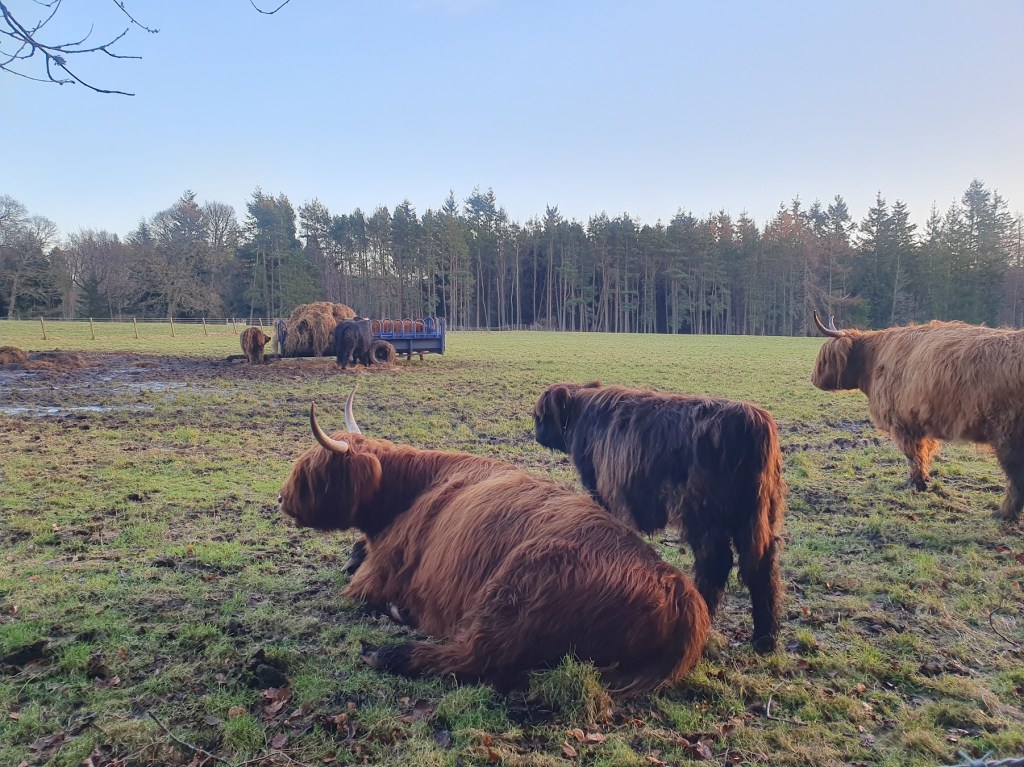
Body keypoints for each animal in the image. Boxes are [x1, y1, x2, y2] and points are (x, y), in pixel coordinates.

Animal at [278, 389, 710, 694]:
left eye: (312, 469)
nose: (281, 498)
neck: (409, 490)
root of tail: (679, 589)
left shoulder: (378, 574)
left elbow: (355, 586)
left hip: (515, 592)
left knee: (474, 657)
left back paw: (387, 652)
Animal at [533, 382, 786, 652]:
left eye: (539, 416)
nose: (536, 433)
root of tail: (754, 422)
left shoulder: (600, 488)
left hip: (704, 517)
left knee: (716, 563)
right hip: (758, 518)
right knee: (762, 568)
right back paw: (764, 638)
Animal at [811, 311, 1024, 521]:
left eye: (824, 359)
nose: (812, 379)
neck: (873, 362)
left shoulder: (903, 423)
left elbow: (913, 455)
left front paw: (916, 483)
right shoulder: (921, 423)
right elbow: (924, 453)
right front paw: (924, 480)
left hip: (1007, 435)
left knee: (1016, 476)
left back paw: (1004, 513)